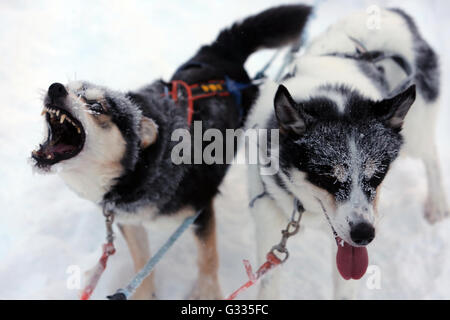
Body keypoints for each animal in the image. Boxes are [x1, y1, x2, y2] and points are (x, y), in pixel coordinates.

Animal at [29, 5, 312, 300]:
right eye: (73, 90)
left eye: (97, 106)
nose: (55, 88)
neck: (140, 173)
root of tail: (217, 50)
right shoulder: (130, 221)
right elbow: (142, 261)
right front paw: (144, 294)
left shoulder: (199, 210)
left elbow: (207, 258)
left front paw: (208, 293)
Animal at [248, 8, 444, 298]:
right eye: (328, 177)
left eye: (377, 175)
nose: (364, 234)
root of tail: (393, 11)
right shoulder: (269, 210)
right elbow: (269, 280)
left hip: (417, 127)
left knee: (431, 154)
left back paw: (438, 203)